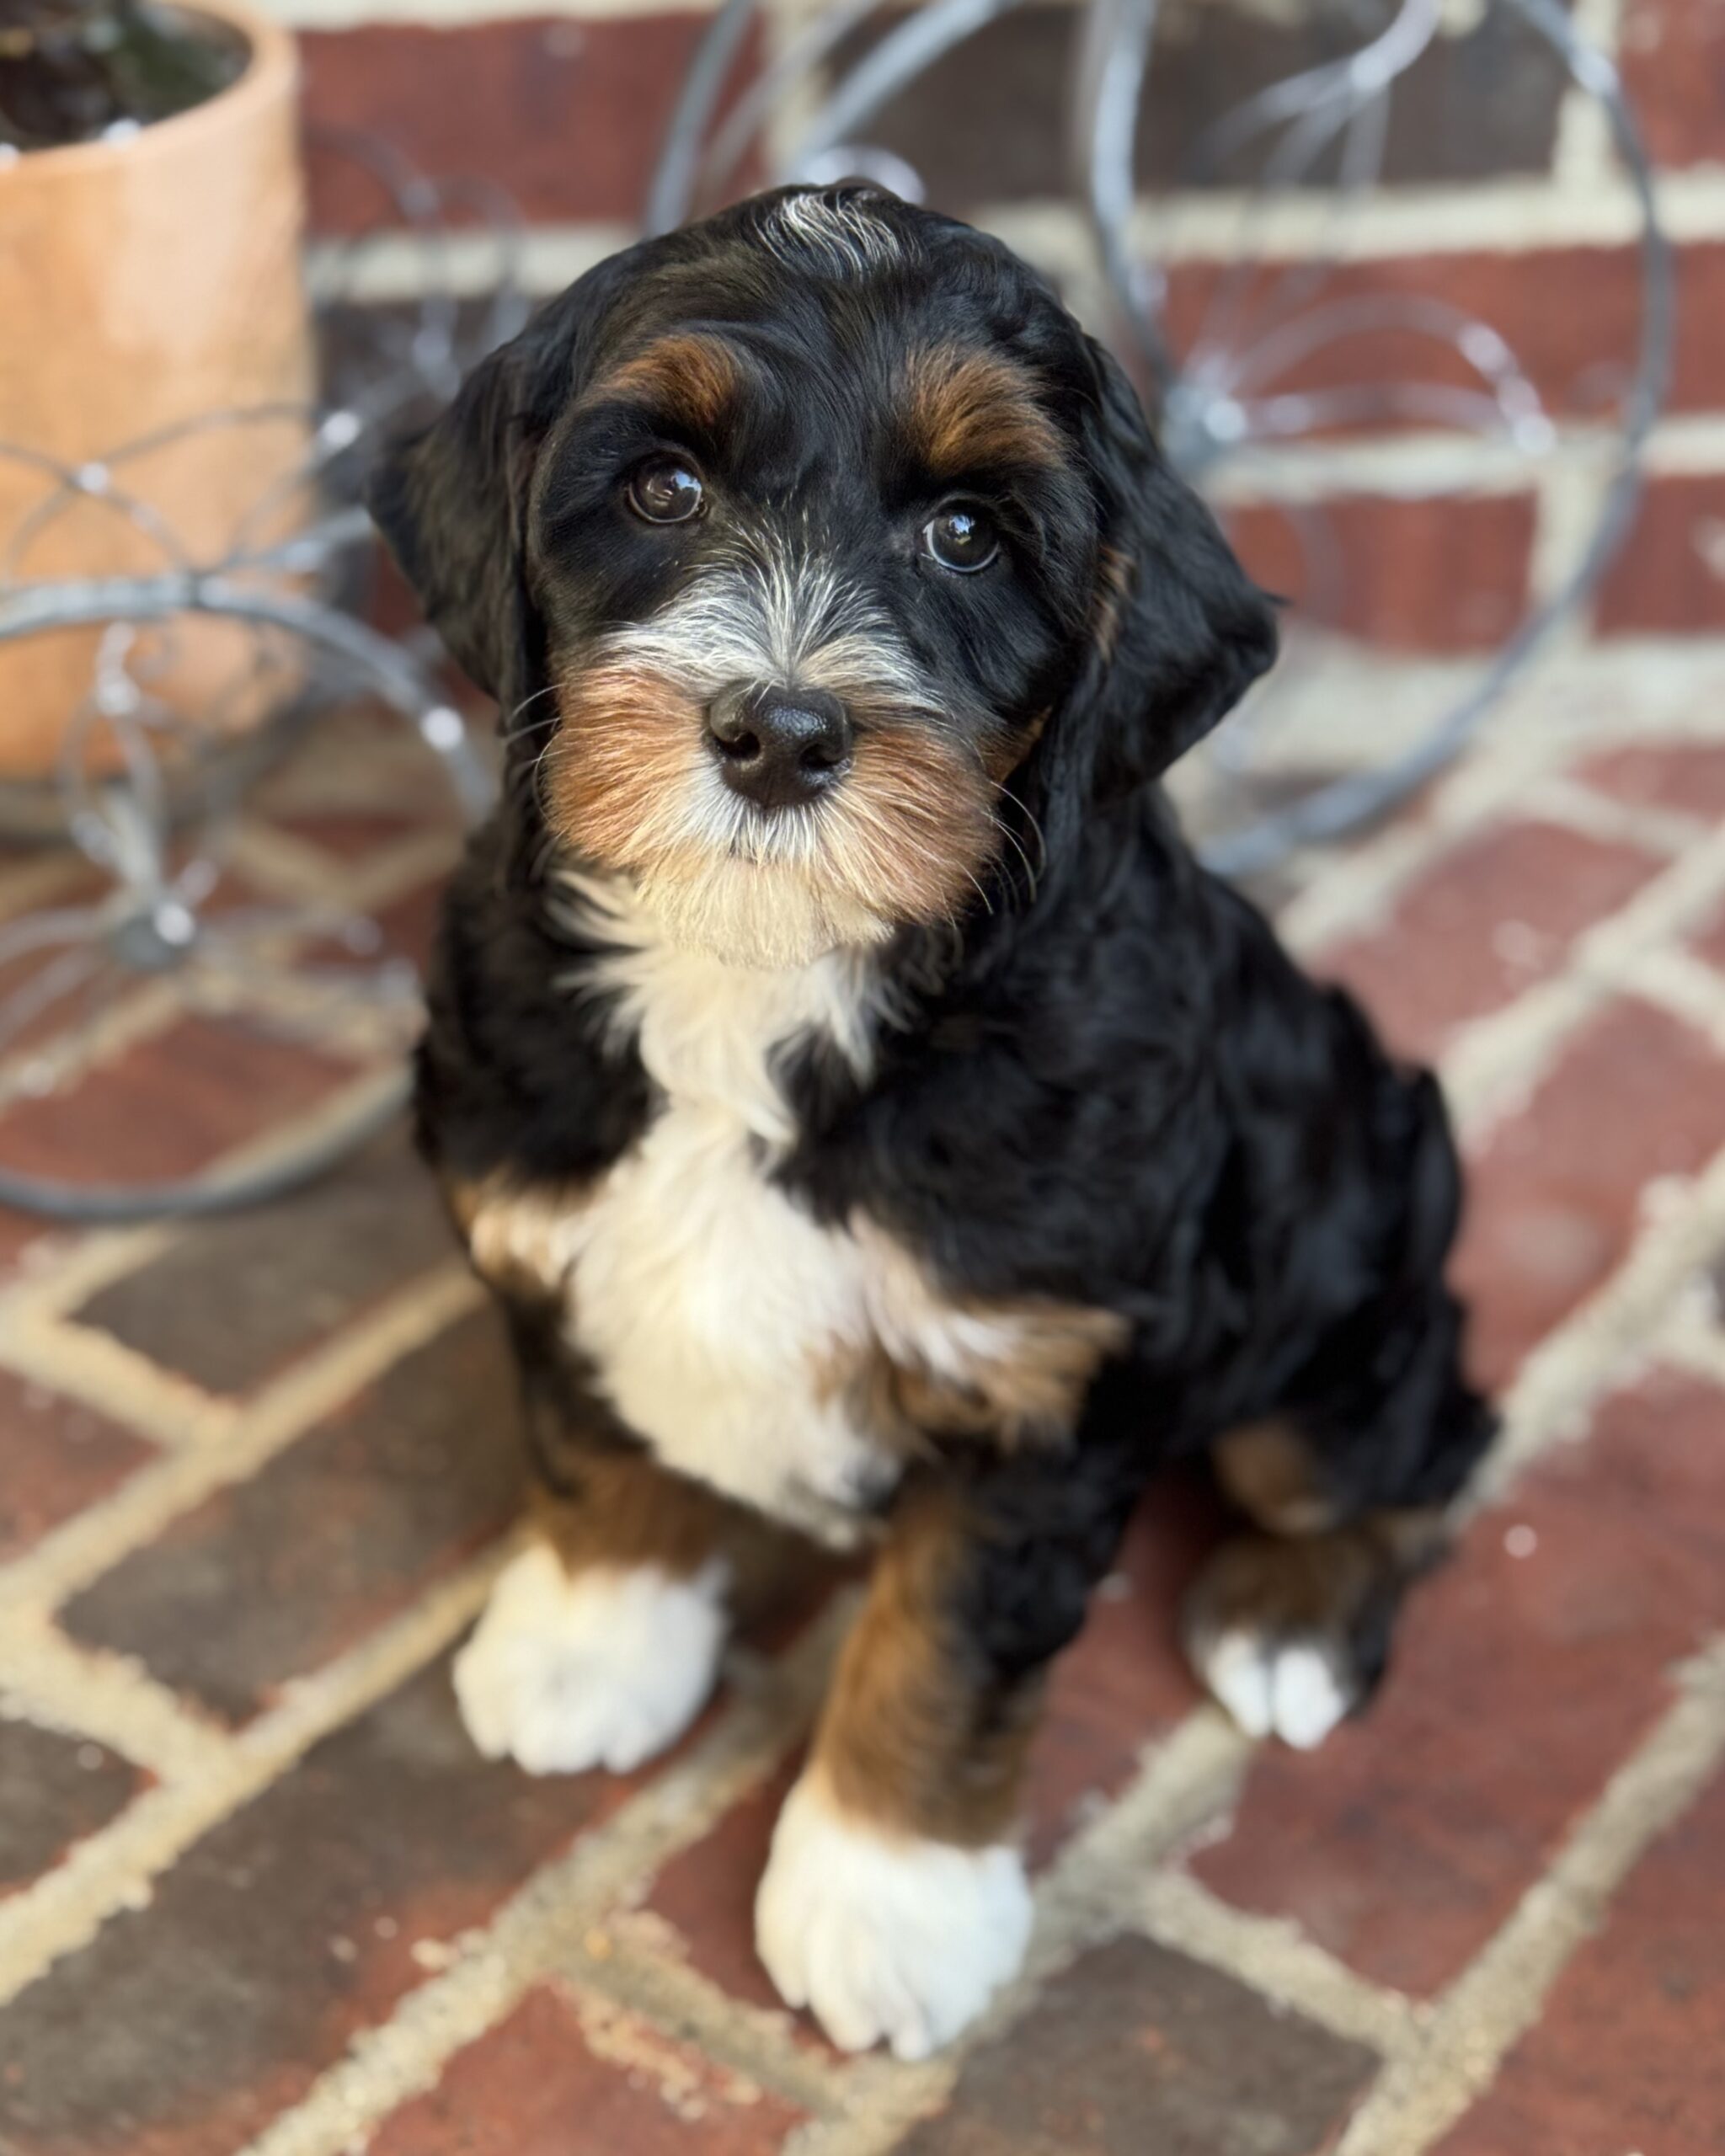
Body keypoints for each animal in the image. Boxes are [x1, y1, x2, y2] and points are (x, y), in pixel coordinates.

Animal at [369, 181, 1493, 2063]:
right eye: (659, 488)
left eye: (970, 534)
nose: (775, 730)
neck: (759, 975)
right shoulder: (545, 1225)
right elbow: (594, 1448)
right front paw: (593, 1644)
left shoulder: (1036, 1387)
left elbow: (943, 1646)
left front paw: (884, 1903)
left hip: (1333, 1263)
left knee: (1415, 1441)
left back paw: (1292, 1622)